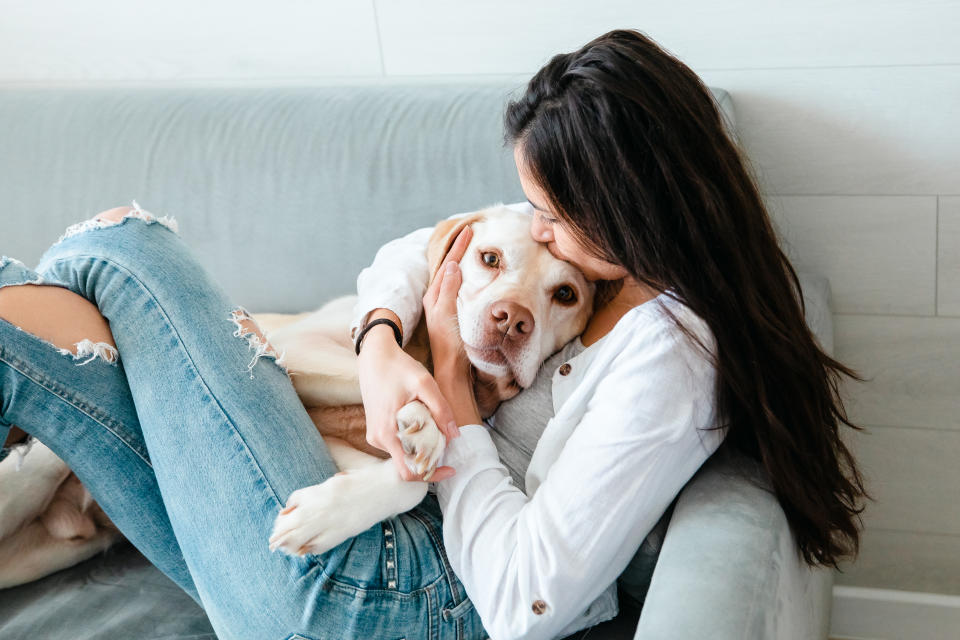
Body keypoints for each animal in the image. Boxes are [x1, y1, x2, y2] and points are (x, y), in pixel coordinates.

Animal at [0, 204, 592, 580]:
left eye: (566, 294)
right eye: (489, 259)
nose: (510, 320)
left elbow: (410, 483)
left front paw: (326, 514)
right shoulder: (295, 347)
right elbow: (393, 379)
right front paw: (421, 421)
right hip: (35, 473)